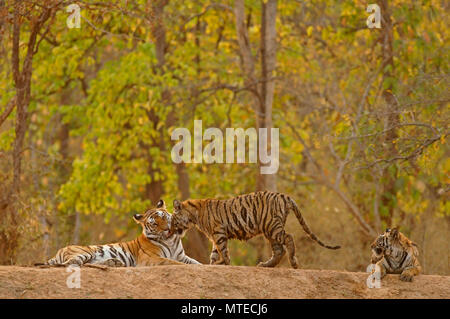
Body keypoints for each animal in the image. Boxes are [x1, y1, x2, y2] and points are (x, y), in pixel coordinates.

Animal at [41, 202, 200, 268]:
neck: (170, 241)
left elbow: (196, 262)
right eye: (155, 224)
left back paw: (114, 263)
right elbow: (171, 262)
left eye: (164, 217)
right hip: (84, 252)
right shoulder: (151, 258)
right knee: (72, 263)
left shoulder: (182, 256)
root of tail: (58, 251)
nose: (167, 229)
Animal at [170, 191, 342, 268]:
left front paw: (223, 263)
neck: (194, 217)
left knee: (289, 238)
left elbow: (223, 251)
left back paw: (293, 263)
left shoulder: (218, 233)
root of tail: (284, 196)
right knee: (279, 250)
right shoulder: (214, 236)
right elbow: (214, 253)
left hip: (272, 226)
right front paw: (214, 264)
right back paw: (266, 265)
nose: (171, 229)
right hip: (269, 230)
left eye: (173, 219)